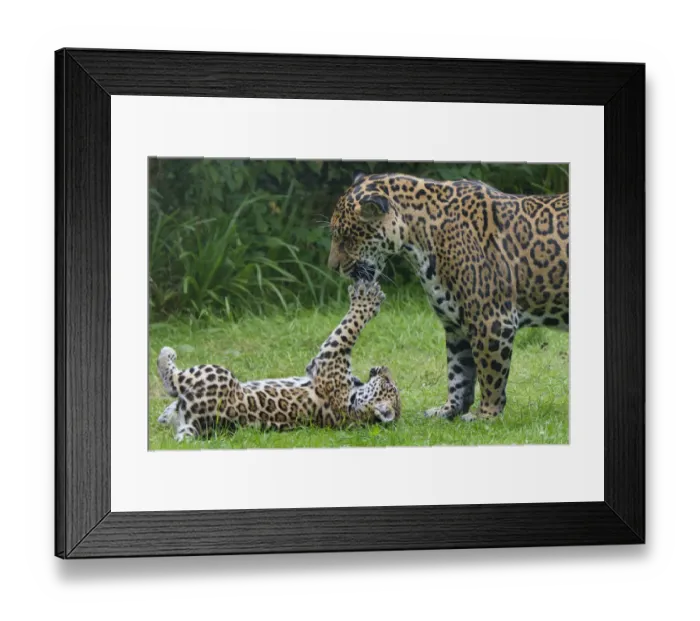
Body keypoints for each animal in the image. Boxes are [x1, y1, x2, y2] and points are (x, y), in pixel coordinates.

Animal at [155, 281, 401, 441]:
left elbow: (350, 327)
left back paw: (166, 354)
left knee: (172, 382)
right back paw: (164, 415)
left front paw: (367, 299)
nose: (383, 368)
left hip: (216, 373)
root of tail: (198, 425)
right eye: (391, 382)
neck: (353, 408)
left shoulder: (330, 358)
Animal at [327, 171, 569, 422]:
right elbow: (458, 373)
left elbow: (490, 374)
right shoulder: (455, 326)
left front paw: (486, 415)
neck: (419, 240)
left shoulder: (491, 321)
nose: (332, 267)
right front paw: (448, 410)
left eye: (346, 238)